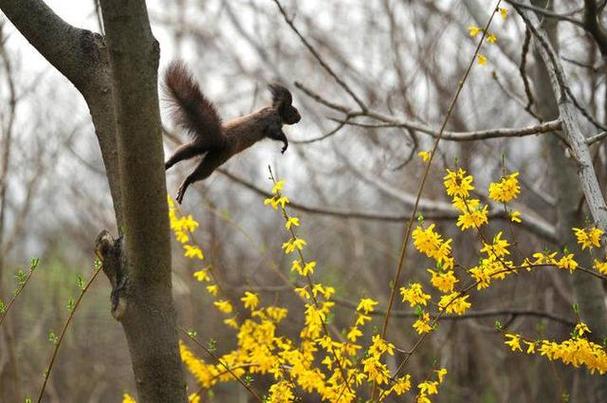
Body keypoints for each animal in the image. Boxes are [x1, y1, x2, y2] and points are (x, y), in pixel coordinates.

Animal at [164, 61, 302, 204]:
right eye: (294, 111)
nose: (300, 117)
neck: (277, 112)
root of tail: (220, 138)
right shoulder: (272, 122)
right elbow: (274, 133)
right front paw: (285, 143)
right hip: (218, 157)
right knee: (198, 173)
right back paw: (185, 183)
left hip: (202, 145)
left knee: (184, 152)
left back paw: (168, 164)